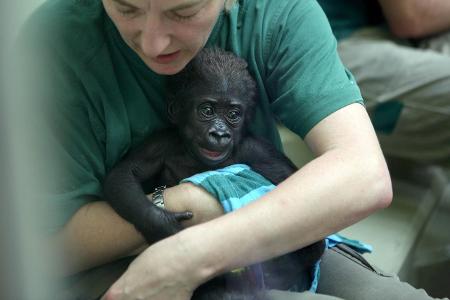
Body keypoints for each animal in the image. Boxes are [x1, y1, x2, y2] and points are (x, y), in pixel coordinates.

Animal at [103, 48, 326, 298]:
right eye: (207, 111)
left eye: (233, 114)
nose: (219, 134)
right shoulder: (161, 142)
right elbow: (124, 173)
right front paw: (161, 222)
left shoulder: (256, 149)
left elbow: (301, 202)